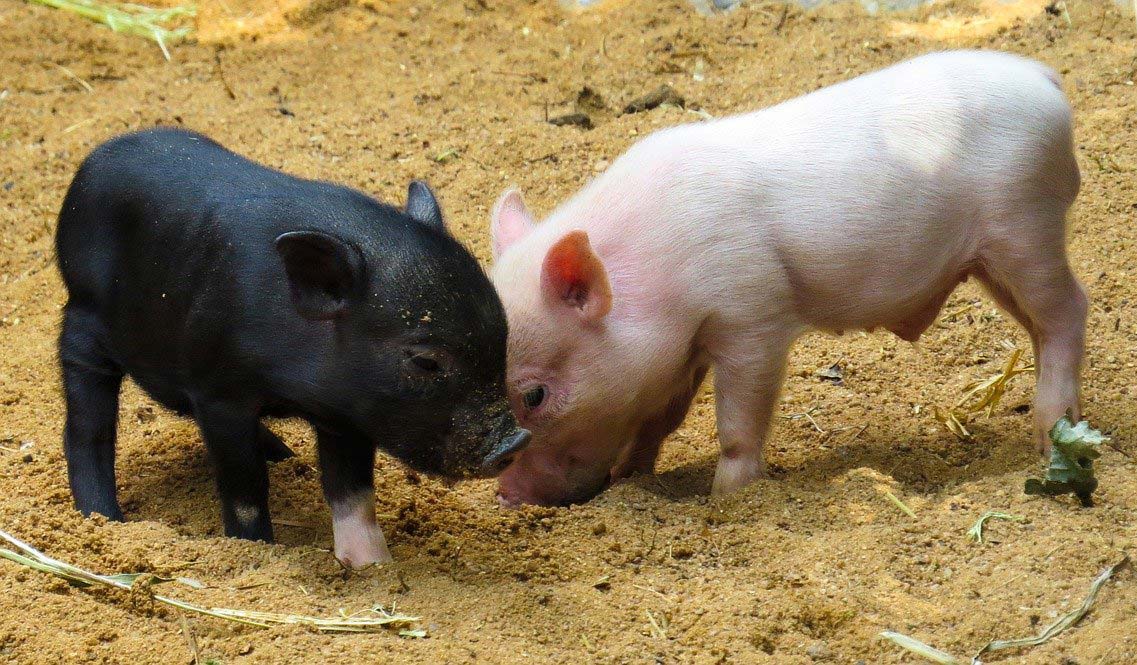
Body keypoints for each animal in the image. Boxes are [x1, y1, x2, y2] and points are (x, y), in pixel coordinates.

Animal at [56, 128, 529, 567]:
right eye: (426, 361)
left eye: (503, 336)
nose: (515, 441)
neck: (296, 392)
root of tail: (95, 160)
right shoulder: (219, 393)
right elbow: (246, 489)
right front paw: (258, 549)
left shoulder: (349, 412)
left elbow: (353, 492)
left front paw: (373, 569)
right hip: (81, 323)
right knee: (87, 429)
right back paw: (104, 518)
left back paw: (283, 454)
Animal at [490, 50, 1085, 507]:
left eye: (535, 395)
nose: (505, 495)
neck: (658, 271)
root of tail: (1043, 78)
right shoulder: (687, 346)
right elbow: (661, 416)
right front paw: (628, 477)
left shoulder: (753, 314)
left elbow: (737, 422)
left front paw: (725, 498)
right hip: (991, 260)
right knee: (1037, 326)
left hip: (1025, 224)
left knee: (1068, 310)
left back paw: (1049, 438)